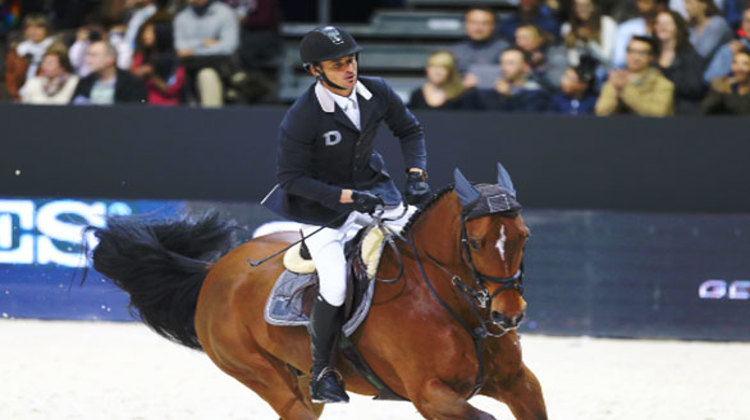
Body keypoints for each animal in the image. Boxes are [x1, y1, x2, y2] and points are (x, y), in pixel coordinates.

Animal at [89, 166, 548, 418]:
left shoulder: (519, 383)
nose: (508, 315)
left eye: (524, 236)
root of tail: (215, 271)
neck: (458, 310)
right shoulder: (430, 395)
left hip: (301, 380)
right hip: (259, 373)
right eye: (477, 243)